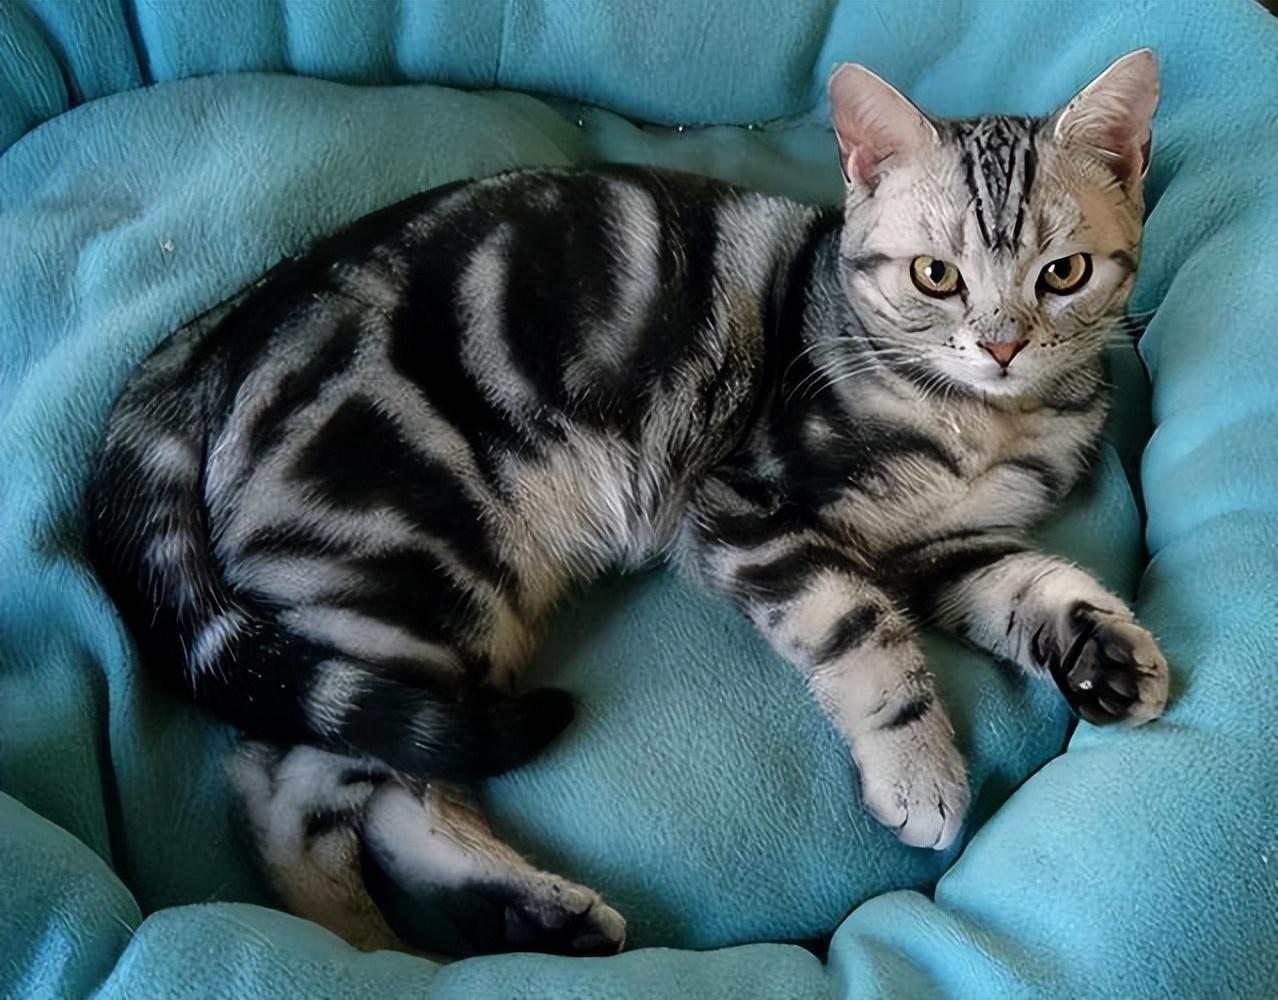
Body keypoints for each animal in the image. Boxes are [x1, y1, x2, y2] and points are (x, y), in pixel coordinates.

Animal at [88, 50, 1168, 956]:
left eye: (1063, 274)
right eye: (936, 277)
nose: (1002, 344)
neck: (986, 426)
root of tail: (228, 328)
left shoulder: (948, 544)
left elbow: (1029, 580)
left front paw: (1104, 647)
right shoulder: (746, 506)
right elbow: (864, 626)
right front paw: (920, 773)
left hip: (451, 615)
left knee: (397, 775)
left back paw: (534, 912)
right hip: (409, 570)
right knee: (285, 790)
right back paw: (365, 950)